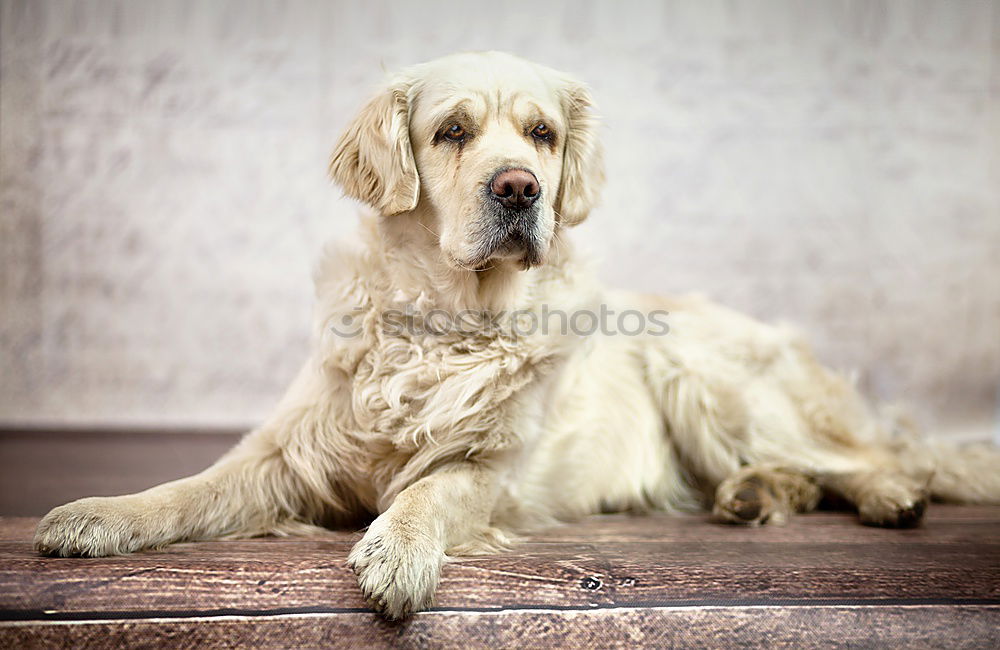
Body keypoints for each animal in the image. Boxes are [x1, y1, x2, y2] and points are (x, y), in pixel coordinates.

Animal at [31, 52, 1000, 616]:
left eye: (542, 134)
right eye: (452, 131)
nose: (520, 188)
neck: (450, 318)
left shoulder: (492, 472)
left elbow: (429, 491)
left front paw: (396, 553)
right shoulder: (288, 452)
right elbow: (187, 489)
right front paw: (98, 516)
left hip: (705, 373)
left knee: (876, 458)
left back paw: (887, 495)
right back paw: (755, 496)